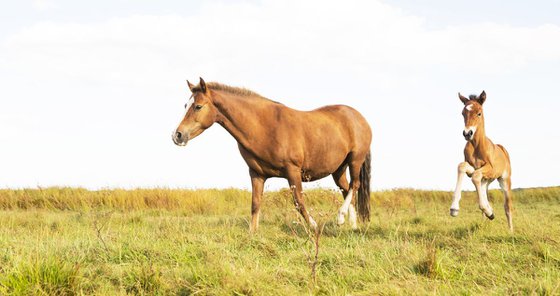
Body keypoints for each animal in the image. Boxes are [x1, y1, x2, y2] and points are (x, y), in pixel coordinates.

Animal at [171, 77, 372, 232]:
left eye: (198, 106)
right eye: (185, 105)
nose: (177, 135)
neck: (265, 126)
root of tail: (359, 117)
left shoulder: (292, 171)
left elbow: (299, 202)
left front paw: (314, 226)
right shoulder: (256, 174)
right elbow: (255, 204)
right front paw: (252, 233)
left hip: (355, 160)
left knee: (354, 185)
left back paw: (340, 217)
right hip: (338, 169)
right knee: (346, 189)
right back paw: (351, 225)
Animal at [450, 90, 512, 231]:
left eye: (479, 113)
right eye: (463, 113)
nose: (467, 133)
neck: (477, 146)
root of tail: (503, 149)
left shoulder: (490, 168)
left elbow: (476, 176)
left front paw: (489, 210)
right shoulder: (472, 168)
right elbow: (462, 167)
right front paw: (454, 208)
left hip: (504, 180)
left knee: (507, 206)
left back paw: (510, 230)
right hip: (487, 180)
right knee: (482, 187)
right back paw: (488, 212)